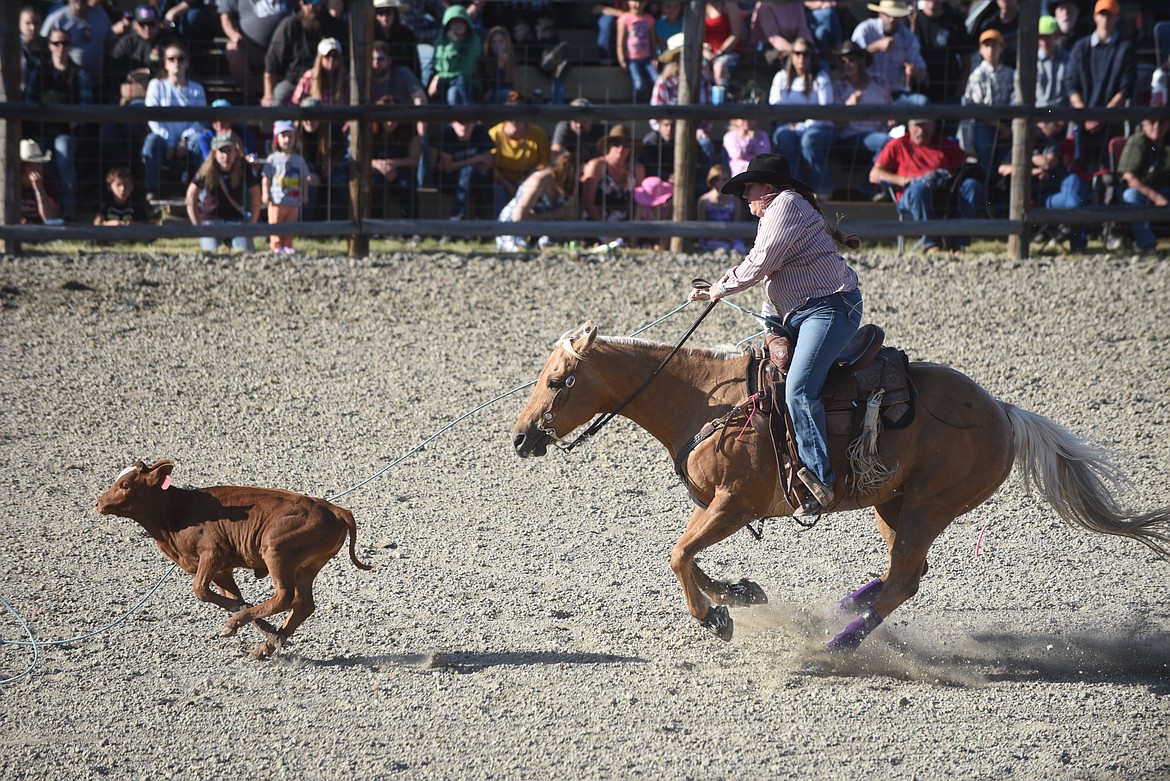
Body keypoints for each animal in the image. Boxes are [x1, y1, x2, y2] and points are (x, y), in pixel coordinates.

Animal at [96, 458, 372, 659]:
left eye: (125, 485)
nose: (98, 502)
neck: (177, 513)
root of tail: (334, 509)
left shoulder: (212, 554)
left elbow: (200, 590)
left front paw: (233, 622)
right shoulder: (221, 571)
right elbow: (235, 599)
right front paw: (265, 629)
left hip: (277, 551)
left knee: (286, 596)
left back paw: (238, 625)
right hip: (307, 566)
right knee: (303, 605)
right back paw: (267, 645)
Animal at [510, 320, 1170, 650]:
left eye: (560, 381)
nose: (520, 438)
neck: (709, 401)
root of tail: (1004, 412)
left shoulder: (734, 504)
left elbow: (678, 555)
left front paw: (714, 616)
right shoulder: (720, 509)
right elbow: (689, 556)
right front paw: (739, 592)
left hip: (930, 505)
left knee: (903, 579)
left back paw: (840, 643)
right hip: (893, 504)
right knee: (907, 575)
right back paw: (849, 609)